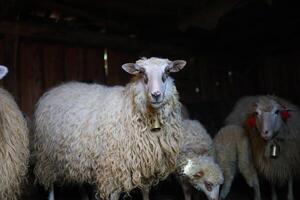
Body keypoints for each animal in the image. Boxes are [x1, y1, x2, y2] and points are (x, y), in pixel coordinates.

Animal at [33, 57, 188, 199]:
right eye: (142, 73)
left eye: (167, 72)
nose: (156, 95)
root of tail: (55, 90)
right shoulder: (112, 168)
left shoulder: (145, 164)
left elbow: (145, 193)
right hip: (47, 156)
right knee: (50, 183)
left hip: (75, 157)